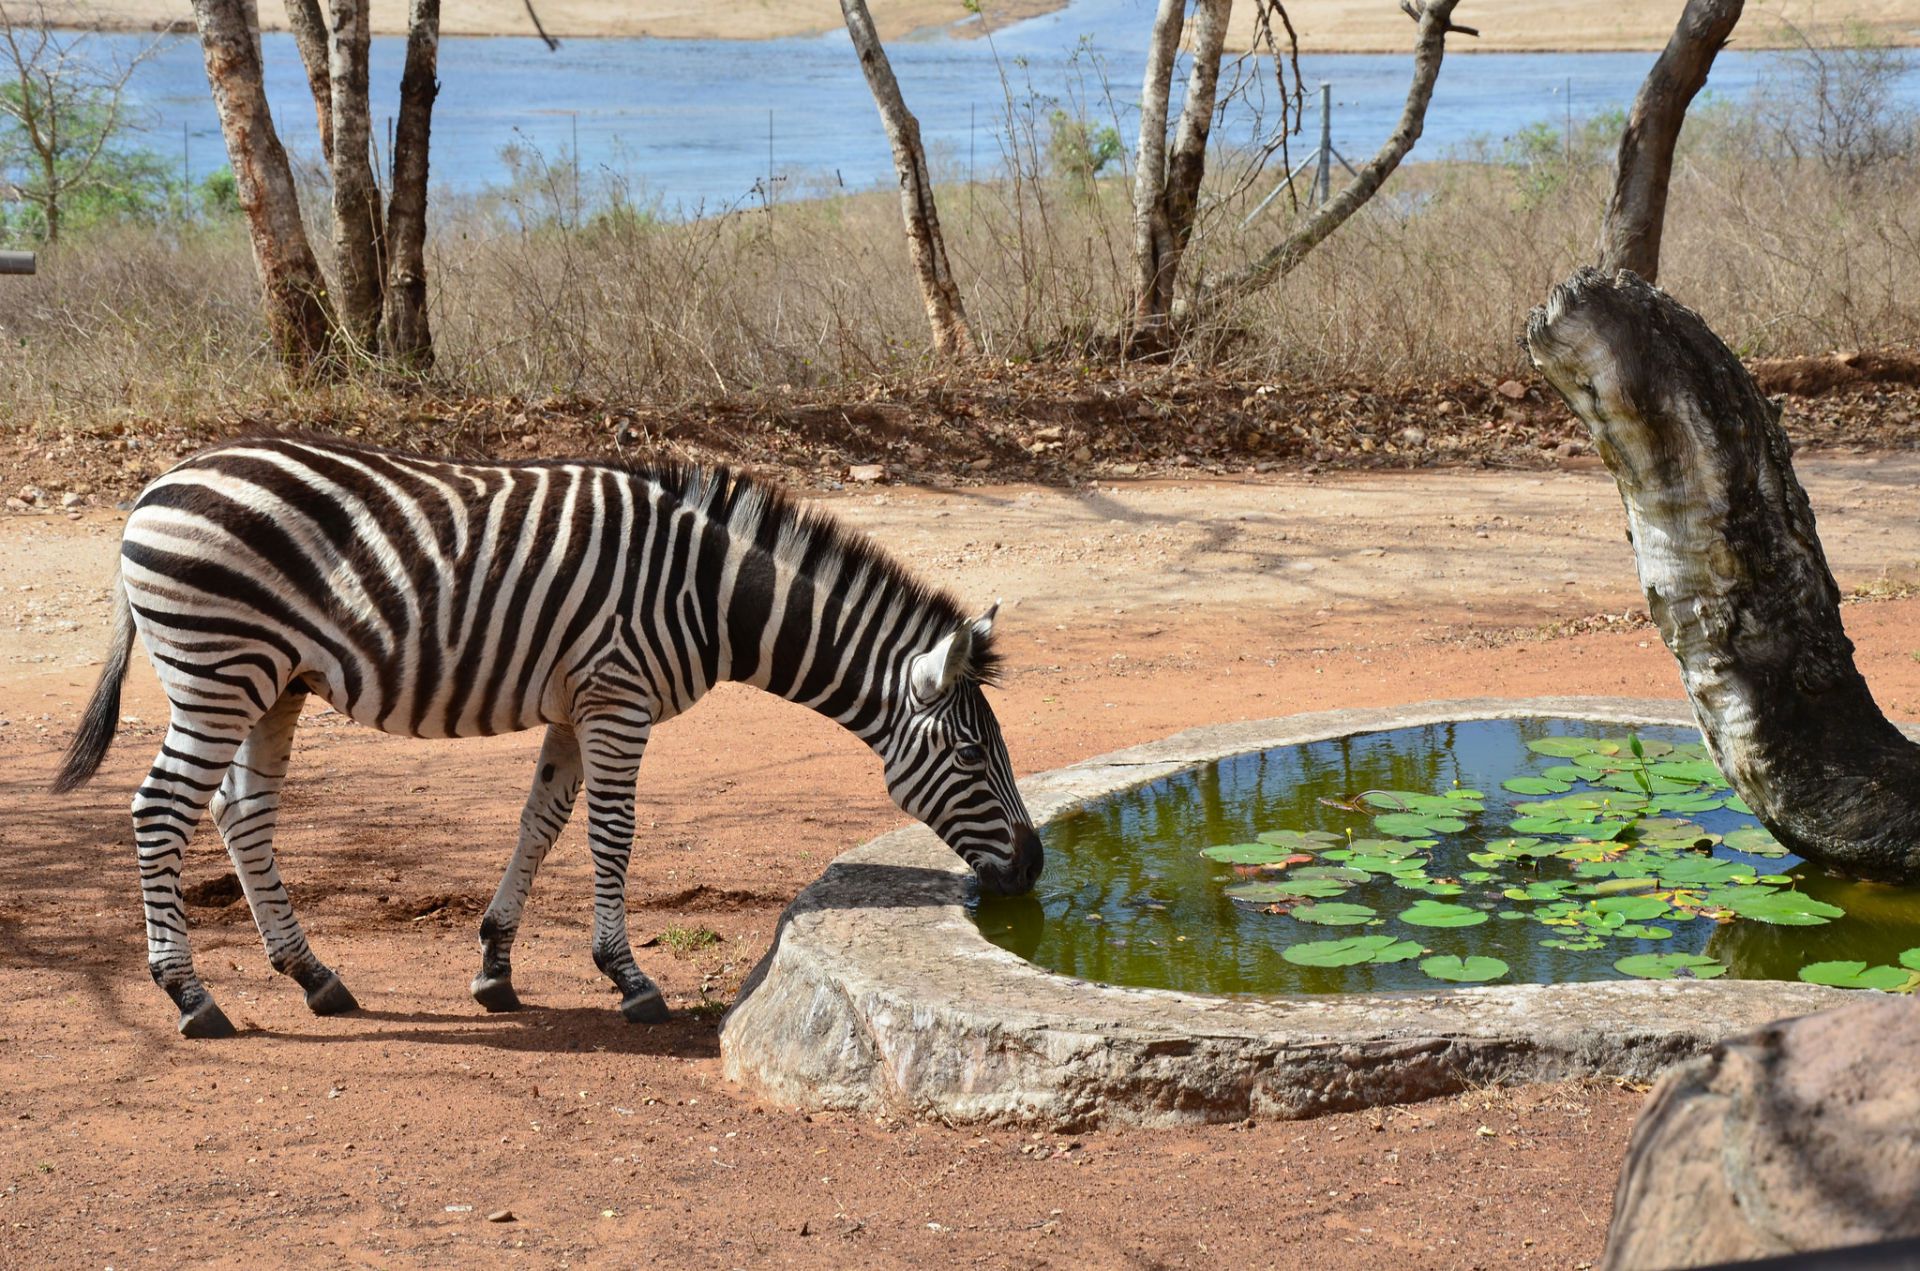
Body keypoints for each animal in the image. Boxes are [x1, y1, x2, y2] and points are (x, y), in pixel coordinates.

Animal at [52, 433, 1044, 1044]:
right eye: (971, 755)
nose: (1036, 867)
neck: (712, 595)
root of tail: (154, 489)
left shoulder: (577, 704)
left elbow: (541, 824)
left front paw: (494, 965)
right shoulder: (618, 696)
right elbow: (612, 834)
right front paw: (629, 978)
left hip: (273, 685)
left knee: (240, 814)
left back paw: (313, 974)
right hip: (221, 670)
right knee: (160, 810)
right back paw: (190, 994)